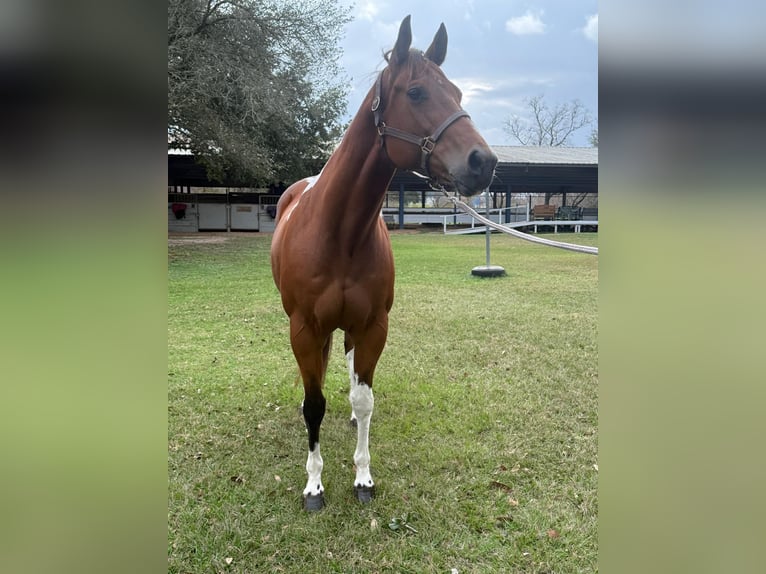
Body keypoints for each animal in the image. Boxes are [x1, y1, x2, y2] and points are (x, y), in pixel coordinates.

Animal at [270, 15, 497, 511]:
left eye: (458, 93)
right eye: (415, 92)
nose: (484, 162)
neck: (340, 234)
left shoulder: (373, 326)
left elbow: (364, 400)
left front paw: (363, 477)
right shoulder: (304, 328)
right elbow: (314, 404)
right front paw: (314, 485)